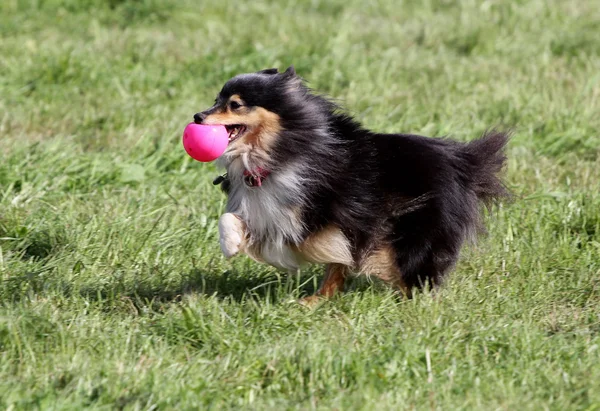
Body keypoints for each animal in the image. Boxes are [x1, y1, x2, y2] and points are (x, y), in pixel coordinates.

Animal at [193, 67, 510, 306]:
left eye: (235, 104)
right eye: (216, 99)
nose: (198, 116)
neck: (275, 150)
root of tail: (463, 159)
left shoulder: (318, 213)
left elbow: (307, 241)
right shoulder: (264, 205)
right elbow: (229, 218)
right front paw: (231, 243)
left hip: (416, 231)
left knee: (411, 270)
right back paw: (315, 300)